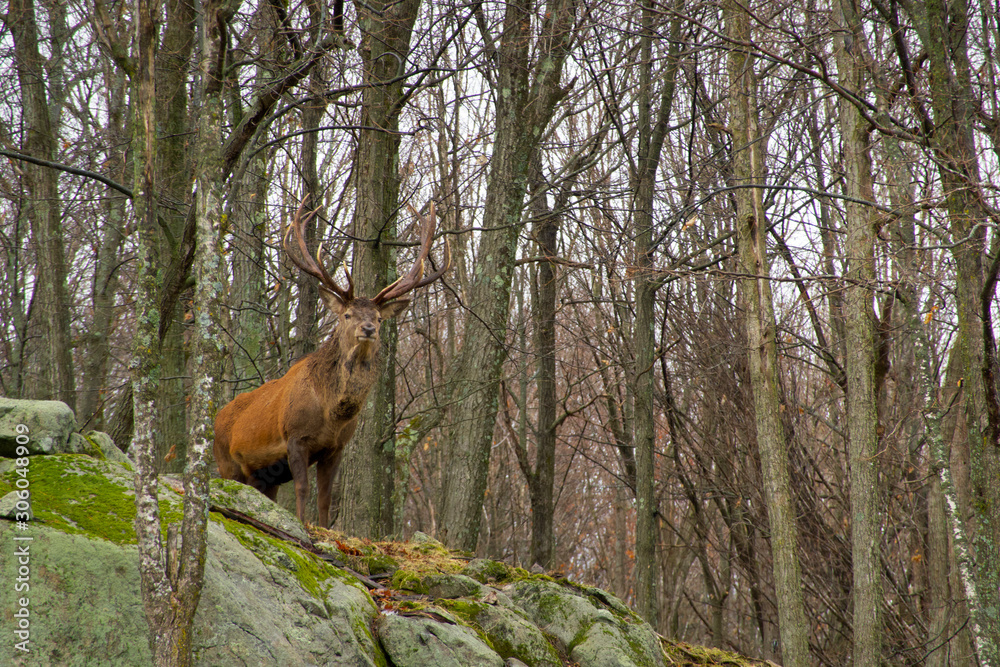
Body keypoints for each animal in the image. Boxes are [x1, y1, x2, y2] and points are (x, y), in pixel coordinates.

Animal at [213, 199, 449, 527]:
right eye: (348, 314)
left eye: (378, 317)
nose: (368, 329)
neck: (330, 412)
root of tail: (216, 418)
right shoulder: (294, 437)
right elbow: (303, 489)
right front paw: (302, 525)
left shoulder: (336, 447)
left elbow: (324, 496)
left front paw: (324, 528)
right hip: (226, 461)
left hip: (262, 475)